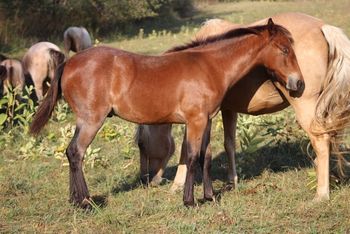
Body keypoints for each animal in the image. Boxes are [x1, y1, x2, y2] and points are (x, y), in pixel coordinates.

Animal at [30, 19, 304, 207]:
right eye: (284, 49)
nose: (298, 83)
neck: (210, 66)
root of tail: (69, 63)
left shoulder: (206, 120)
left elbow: (205, 157)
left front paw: (209, 196)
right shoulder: (195, 121)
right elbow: (192, 157)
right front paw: (189, 201)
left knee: (71, 153)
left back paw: (74, 200)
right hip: (91, 121)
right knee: (76, 152)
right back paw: (85, 201)